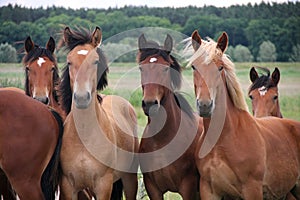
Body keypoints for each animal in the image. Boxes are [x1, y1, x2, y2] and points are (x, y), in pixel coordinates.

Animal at [137, 33, 203, 199]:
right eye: (141, 68)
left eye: (166, 68)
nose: (150, 104)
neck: (162, 140)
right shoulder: (153, 188)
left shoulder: (188, 188)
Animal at [185, 30, 300, 200]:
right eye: (194, 67)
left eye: (220, 68)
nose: (205, 105)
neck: (223, 140)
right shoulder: (208, 190)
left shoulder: (252, 189)